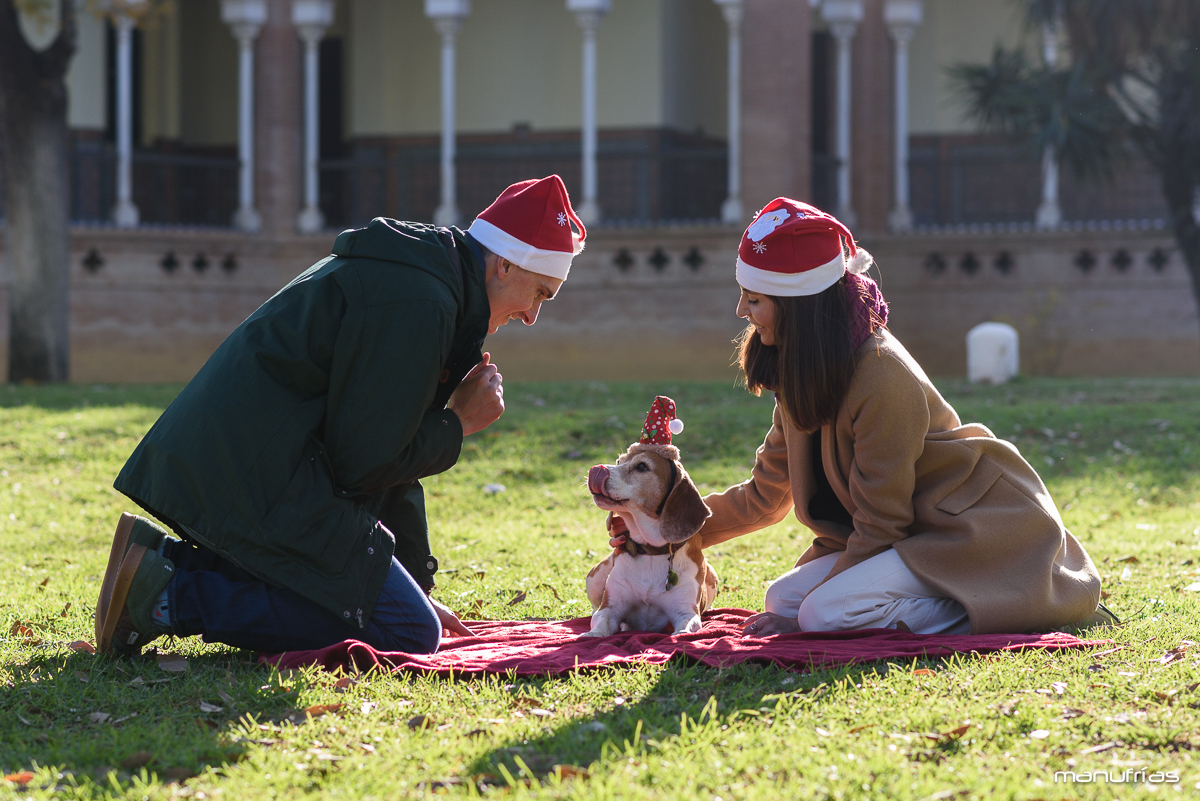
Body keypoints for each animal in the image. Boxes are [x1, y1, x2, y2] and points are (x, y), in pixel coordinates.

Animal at [585, 441, 715, 633]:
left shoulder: (686, 612)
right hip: (595, 578)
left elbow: (683, 630)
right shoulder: (610, 608)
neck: (652, 551)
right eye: (619, 461)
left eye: (642, 466)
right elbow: (601, 622)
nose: (595, 469)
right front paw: (592, 634)